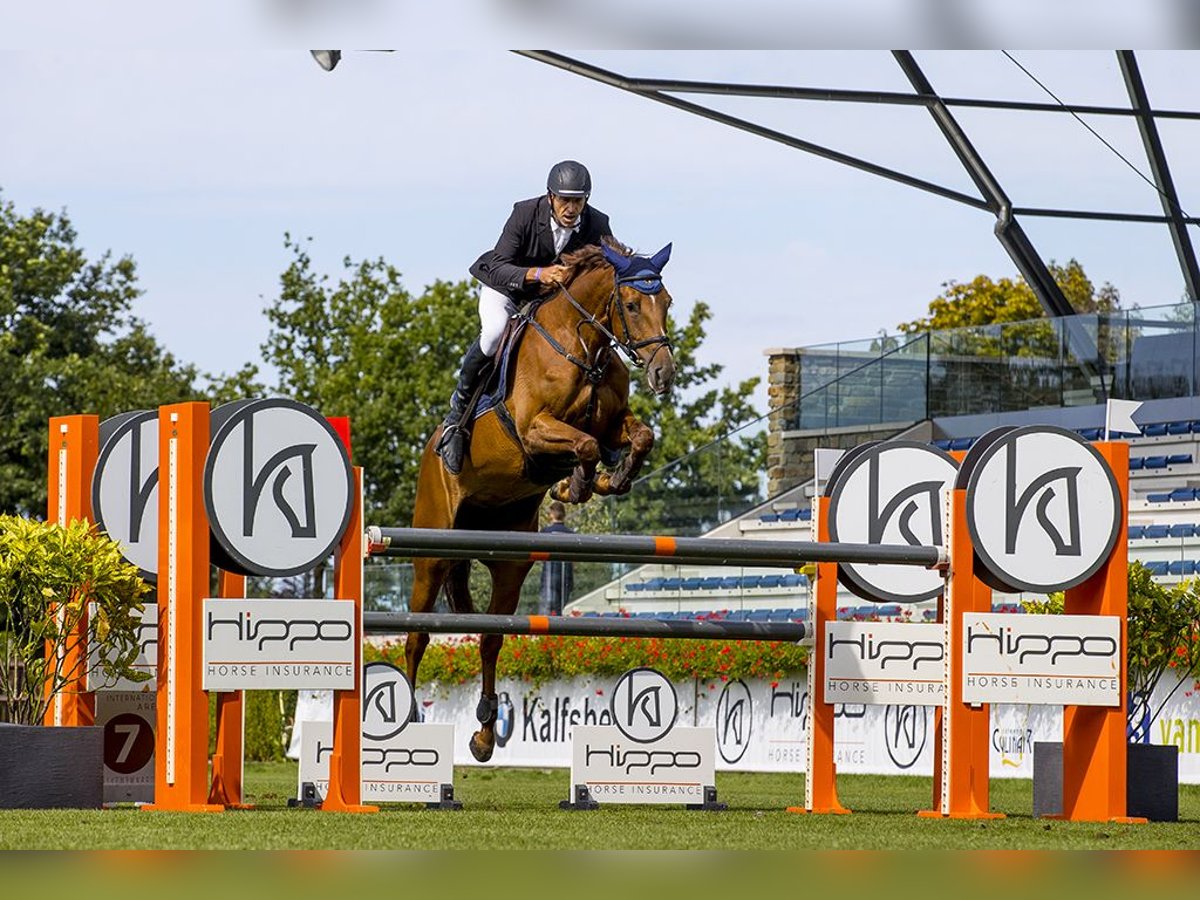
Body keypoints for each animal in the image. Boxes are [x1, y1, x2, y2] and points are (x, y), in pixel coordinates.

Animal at [410, 240, 676, 763]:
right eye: (632, 305)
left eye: (668, 302)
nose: (663, 374)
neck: (585, 346)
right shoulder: (535, 430)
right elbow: (585, 446)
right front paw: (576, 485)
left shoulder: (612, 422)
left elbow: (638, 437)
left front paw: (607, 480)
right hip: (430, 552)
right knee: (417, 636)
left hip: (509, 562)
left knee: (490, 639)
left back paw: (484, 735)